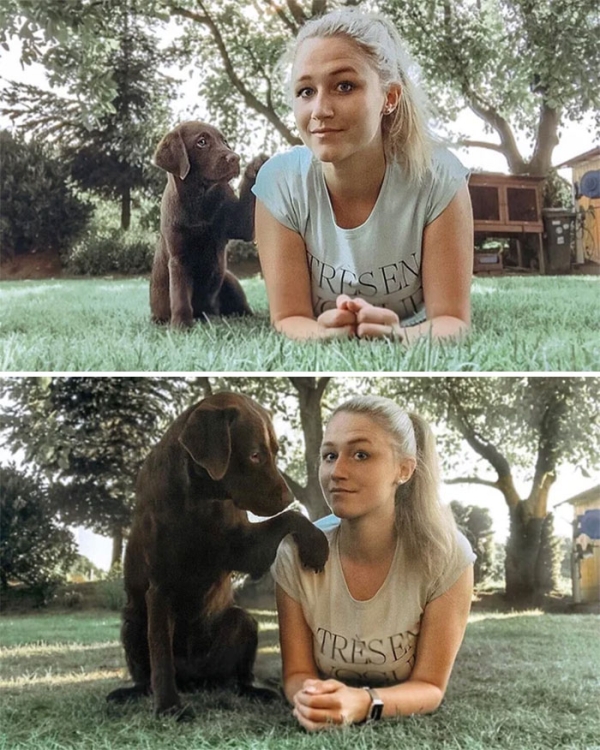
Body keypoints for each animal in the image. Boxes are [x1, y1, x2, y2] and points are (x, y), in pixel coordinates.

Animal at [106, 392, 329, 718]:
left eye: (275, 451)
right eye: (255, 455)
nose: (288, 497)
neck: (200, 500)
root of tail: (195, 680)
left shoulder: (243, 548)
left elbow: (291, 519)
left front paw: (317, 543)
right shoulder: (159, 587)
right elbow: (160, 653)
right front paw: (169, 707)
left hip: (242, 622)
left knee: (237, 676)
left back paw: (256, 692)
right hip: (132, 623)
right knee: (146, 672)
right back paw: (130, 693)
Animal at [150, 121, 267, 327]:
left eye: (225, 141)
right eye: (201, 142)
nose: (235, 158)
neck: (200, 198)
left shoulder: (241, 225)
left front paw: (255, 166)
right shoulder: (179, 258)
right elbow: (180, 294)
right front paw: (181, 325)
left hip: (229, 278)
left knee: (242, 308)